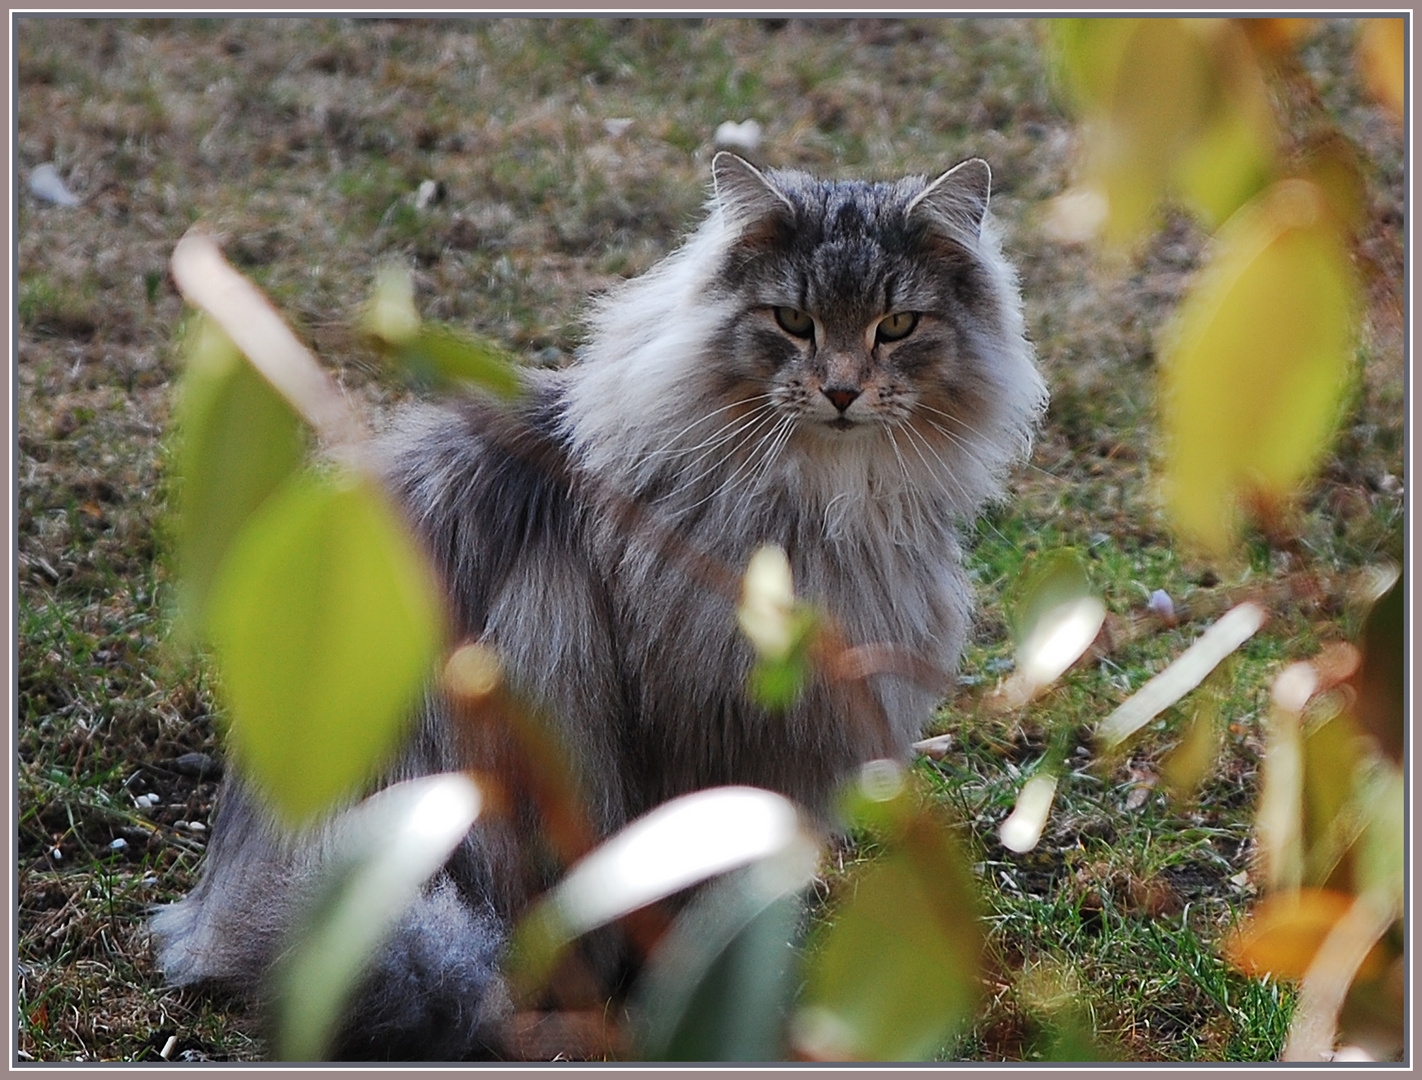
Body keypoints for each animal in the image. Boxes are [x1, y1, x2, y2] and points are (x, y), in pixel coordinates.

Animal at [150, 152, 1052, 1064]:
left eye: (896, 325)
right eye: (793, 320)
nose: (839, 391)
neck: (825, 501)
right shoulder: (704, 744)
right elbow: (696, 894)